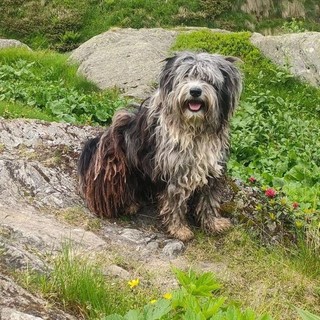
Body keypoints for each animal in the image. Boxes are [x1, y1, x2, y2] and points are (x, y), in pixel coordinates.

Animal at [78, 50, 242, 240]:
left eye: (208, 79)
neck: (194, 130)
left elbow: (208, 200)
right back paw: (128, 204)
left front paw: (213, 223)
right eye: (186, 76)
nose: (195, 91)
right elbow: (174, 202)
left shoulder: (212, 168)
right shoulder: (175, 170)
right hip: (114, 162)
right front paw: (179, 229)